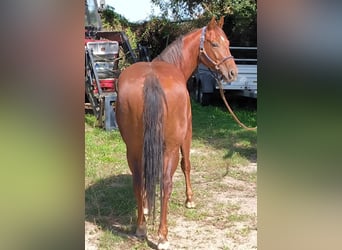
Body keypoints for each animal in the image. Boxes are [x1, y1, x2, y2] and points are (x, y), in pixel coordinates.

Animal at [116, 16, 236, 249]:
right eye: (215, 44)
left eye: (228, 42)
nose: (232, 72)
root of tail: (151, 80)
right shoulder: (187, 135)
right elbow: (186, 165)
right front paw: (190, 200)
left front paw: (146, 207)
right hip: (170, 148)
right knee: (166, 183)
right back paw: (162, 236)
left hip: (132, 148)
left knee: (138, 179)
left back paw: (141, 227)